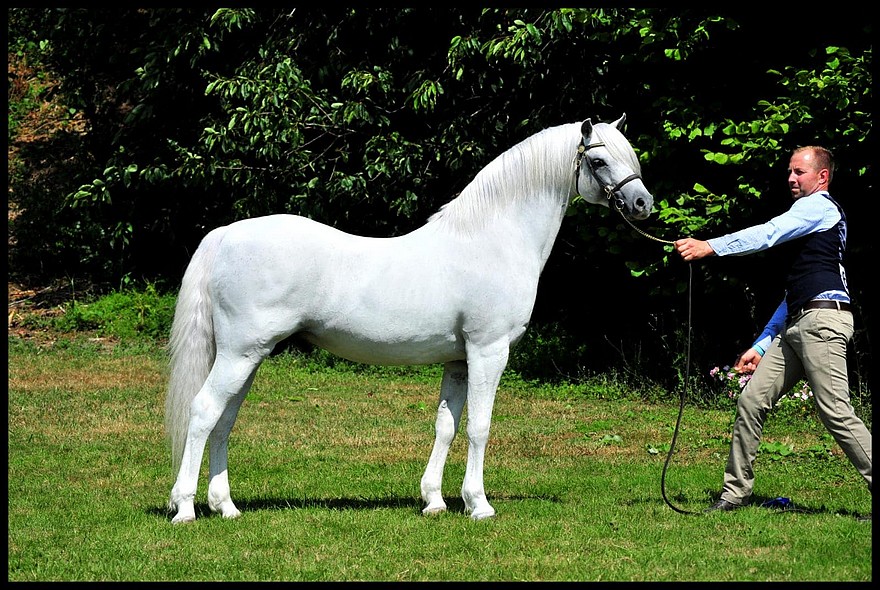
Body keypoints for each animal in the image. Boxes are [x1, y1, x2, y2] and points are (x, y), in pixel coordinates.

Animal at [168, 114, 652, 524]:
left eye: (630, 157)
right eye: (598, 160)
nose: (642, 203)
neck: (492, 239)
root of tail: (226, 234)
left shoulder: (458, 361)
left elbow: (447, 426)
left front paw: (434, 501)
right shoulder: (488, 352)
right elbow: (478, 427)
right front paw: (479, 504)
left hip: (248, 357)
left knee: (224, 421)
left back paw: (226, 507)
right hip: (239, 354)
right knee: (204, 411)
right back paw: (185, 508)